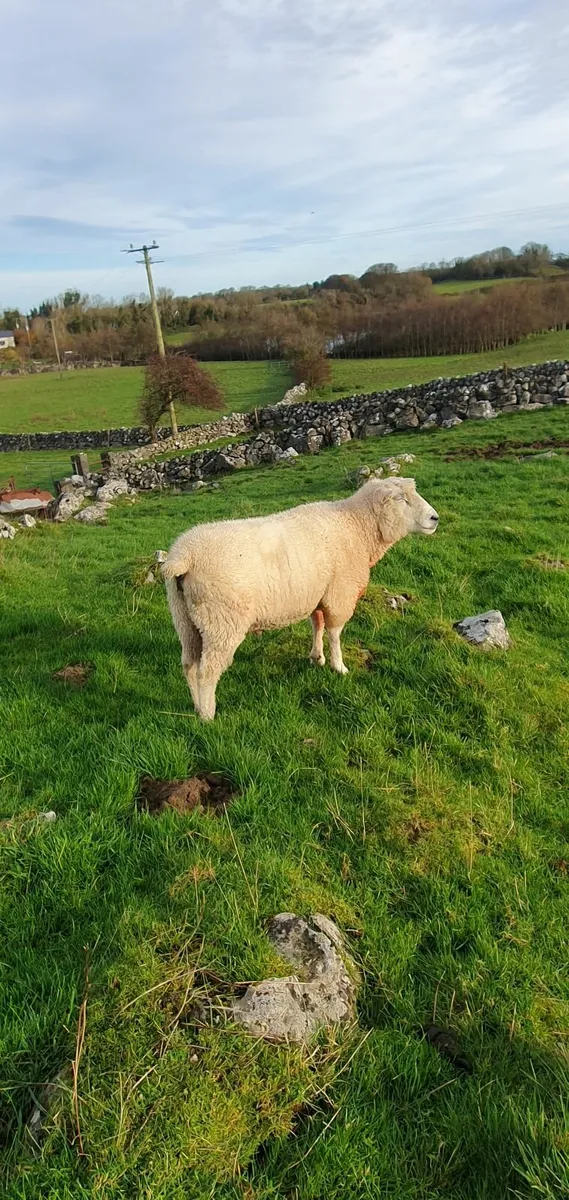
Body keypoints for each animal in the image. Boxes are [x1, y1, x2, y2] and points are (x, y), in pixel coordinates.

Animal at [162, 477, 439, 720]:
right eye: (400, 498)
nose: (435, 518)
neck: (356, 527)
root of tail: (184, 557)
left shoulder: (318, 593)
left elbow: (317, 624)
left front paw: (317, 657)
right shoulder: (340, 593)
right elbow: (334, 633)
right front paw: (339, 667)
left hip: (185, 619)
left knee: (188, 665)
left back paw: (196, 706)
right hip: (222, 621)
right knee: (207, 671)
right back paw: (207, 715)